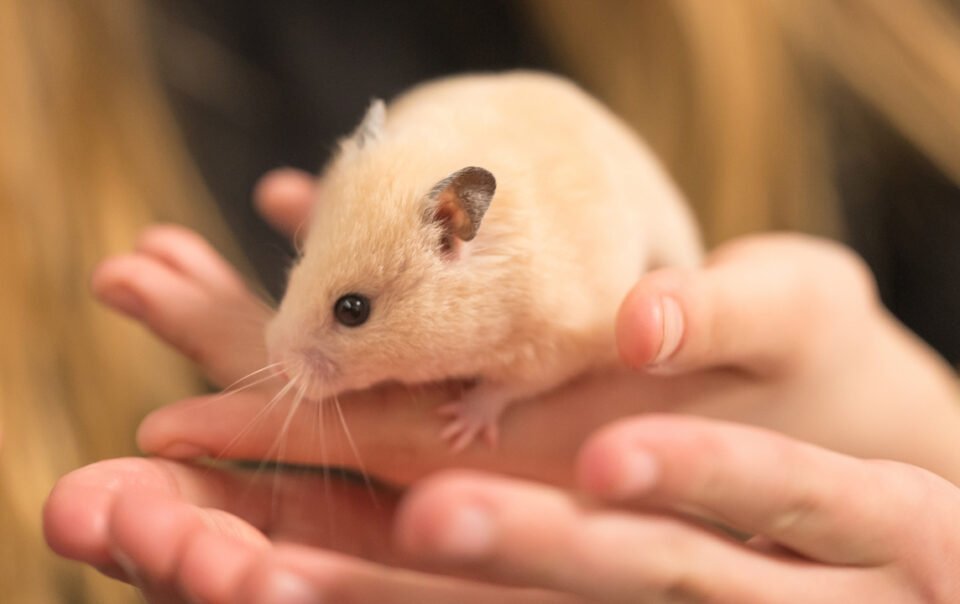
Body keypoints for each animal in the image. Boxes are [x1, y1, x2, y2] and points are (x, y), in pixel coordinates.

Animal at [265, 71, 702, 451]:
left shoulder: (558, 346)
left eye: (352, 310)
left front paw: (459, 426)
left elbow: (509, 387)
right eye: (301, 258)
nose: (279, 365)